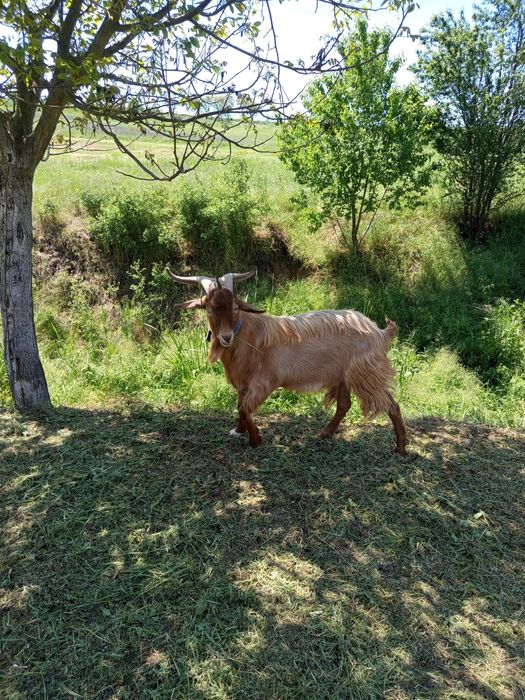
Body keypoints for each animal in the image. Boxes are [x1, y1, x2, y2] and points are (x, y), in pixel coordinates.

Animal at [171, 270, 407, 455]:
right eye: (209, 309)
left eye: (236, 307)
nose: (226, 337)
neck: (248, 336)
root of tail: (380, 332)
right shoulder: (243, 382)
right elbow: (239, 407)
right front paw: (239, 431)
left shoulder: (264, 381)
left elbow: (245, 408)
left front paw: (255, 439)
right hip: (343, 375)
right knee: (344, 405)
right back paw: (325, 433)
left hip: (367, 373)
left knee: (392, 406)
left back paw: (400, 448)